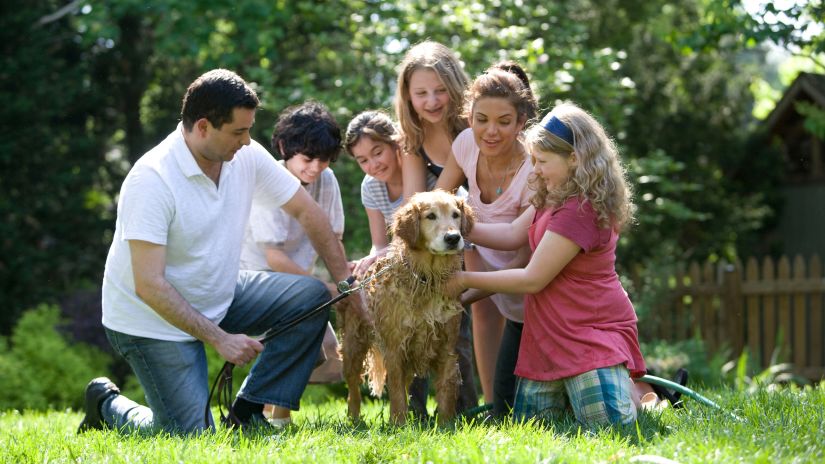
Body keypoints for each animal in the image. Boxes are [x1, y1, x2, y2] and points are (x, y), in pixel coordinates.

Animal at [342, 188, 474, 424]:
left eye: (456, 215)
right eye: (430, 216)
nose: (453, 238)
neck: (426, 279)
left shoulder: (447, 348)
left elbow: (445, 391)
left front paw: (445, 425)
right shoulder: (395, 349)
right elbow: (396, 395)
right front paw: (399, 425)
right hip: (352, 346)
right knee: (353, 389)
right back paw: (354, 421)